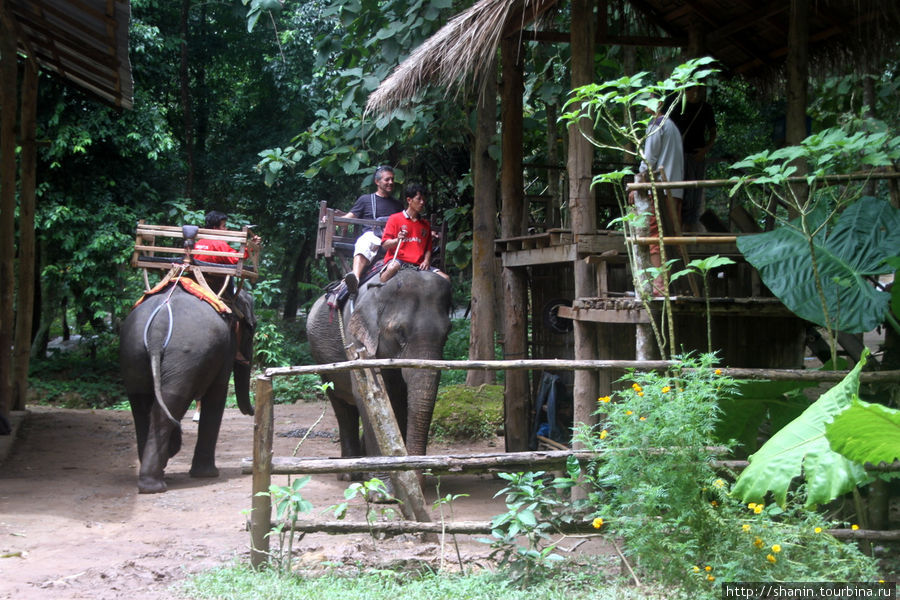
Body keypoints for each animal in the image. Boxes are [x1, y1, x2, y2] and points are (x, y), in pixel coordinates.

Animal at [118, 280, 255, 492]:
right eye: (252, 328)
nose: (253, 410)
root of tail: (157, 330)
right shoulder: (226, 348)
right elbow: (217, 395)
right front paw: (207, 474)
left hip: (132, 351)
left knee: (141, 405)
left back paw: (153, 477)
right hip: (185, 355)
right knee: (169, 403)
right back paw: (155, 485)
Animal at [308, 268, 450, 464]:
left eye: (447, 333)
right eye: (400, 332)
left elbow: (401, 400)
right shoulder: (355, 341)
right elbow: (366, 396)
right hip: (322, 362)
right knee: (342, 408)